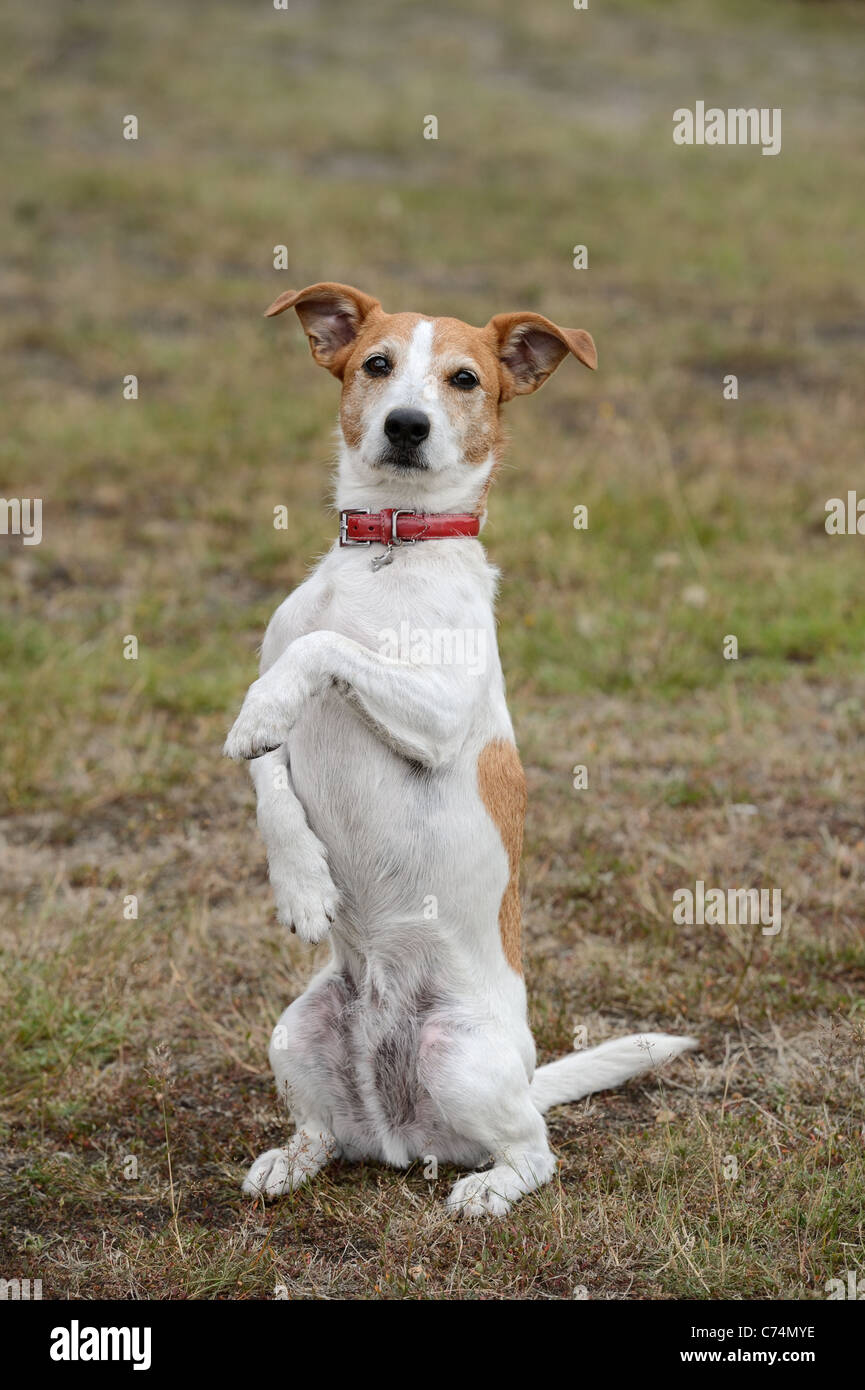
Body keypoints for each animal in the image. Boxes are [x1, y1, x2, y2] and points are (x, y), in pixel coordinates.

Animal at [223, 284, 698, 1217]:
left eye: (464, 379)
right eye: (376, 364)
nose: (406, 424)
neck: (386, 551)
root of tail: (399, 1137)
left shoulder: (439, 713)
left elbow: (326, 651)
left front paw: (270, 709)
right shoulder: (276, 679)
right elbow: (269, 773)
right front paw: (300, 881)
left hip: (464, 1058)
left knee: (534, 1150)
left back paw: (487, 1189)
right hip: (295, 1032)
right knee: (323, 1132)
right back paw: (289, 1161)